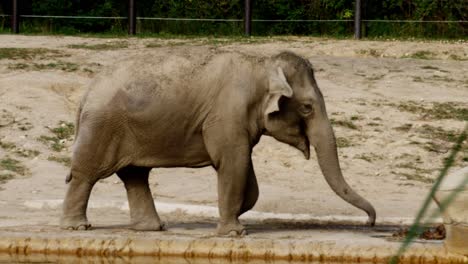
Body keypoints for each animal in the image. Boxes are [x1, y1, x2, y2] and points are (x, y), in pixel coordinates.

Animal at [61, 50, 376, 235]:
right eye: (308, 107)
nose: (370, 221)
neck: (262, 65)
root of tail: (87, 91)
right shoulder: (227, 114)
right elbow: (232, 161)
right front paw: (234, 232)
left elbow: (244, 170)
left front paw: (236, 215)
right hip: (103, 127)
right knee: (87, 174)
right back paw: (78, 227)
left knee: (135, 176)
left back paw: (152, 228)